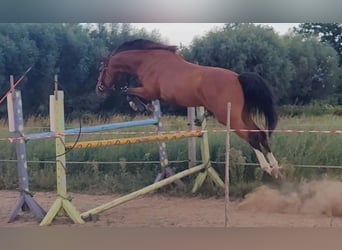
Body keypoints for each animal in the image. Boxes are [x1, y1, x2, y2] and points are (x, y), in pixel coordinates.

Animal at [97, 38, 284, 178]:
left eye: (101, 69)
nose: (99, 89)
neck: (148, 60)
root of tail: (238, 77)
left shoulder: (150, 91)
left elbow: (128, 91)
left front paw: (139, 106)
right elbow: (129, 91)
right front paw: (145, 107)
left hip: (229, 117)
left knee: (251, 137)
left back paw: (267, 168)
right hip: (243, 114)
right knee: (260, 134)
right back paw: (276, 168)